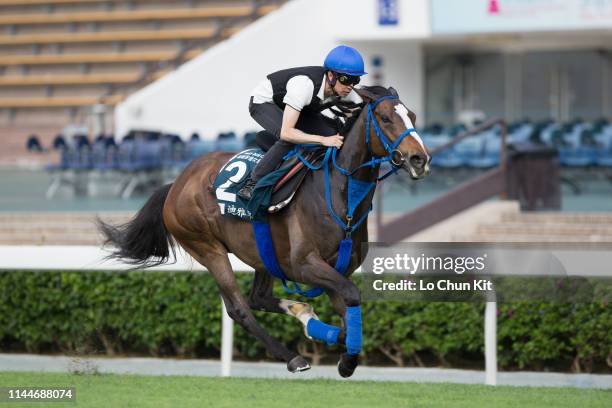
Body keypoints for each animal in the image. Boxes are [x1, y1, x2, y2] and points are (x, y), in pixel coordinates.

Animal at [99, 84, 430, 378]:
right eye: (385, 118)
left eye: (412, 116)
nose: (420, 159)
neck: (340, 196)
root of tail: (176, 184)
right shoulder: (305, 264)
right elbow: (351, 297)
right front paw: (345, 359)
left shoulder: (338, 270)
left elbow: (348, 314)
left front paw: (338, 345)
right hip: (207, 247)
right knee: (240, 308)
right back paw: (294, 357)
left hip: (261, 251)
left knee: (258, 297)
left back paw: (303, 313)